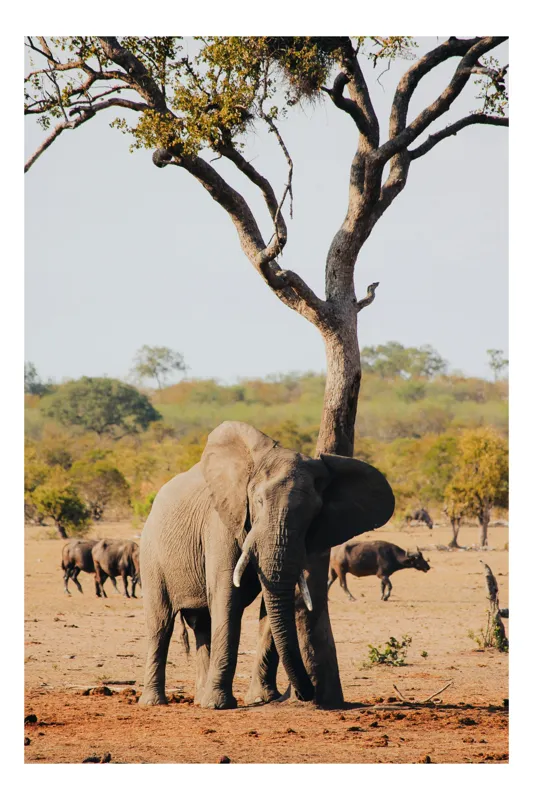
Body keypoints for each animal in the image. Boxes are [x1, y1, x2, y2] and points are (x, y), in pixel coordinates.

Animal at [138, 421, 394, 709]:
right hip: (151, 554)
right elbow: (227, 597)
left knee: (201, 625)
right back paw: (154, 702)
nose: (307, 693)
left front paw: (262, 698)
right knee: (160, 624)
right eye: (259, 502)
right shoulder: (222, 521)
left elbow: (274, 604)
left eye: (314, 512)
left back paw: (199, 699)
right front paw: (220, 705)